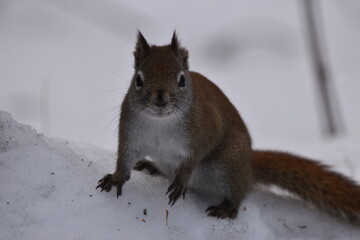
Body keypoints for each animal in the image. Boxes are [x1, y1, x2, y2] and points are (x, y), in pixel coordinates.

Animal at [96, 31, 360, 221]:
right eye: (138, 79)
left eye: (181, 79)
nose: (160, 99)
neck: (161, 122)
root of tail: (249, 167)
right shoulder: (130, 134)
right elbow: (124, 160)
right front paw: (116, 178)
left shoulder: (206, 128)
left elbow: (195, 156)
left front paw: (182, 177)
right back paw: (152, 166)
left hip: (227, 168)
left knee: (238, 193)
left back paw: (226, 208)